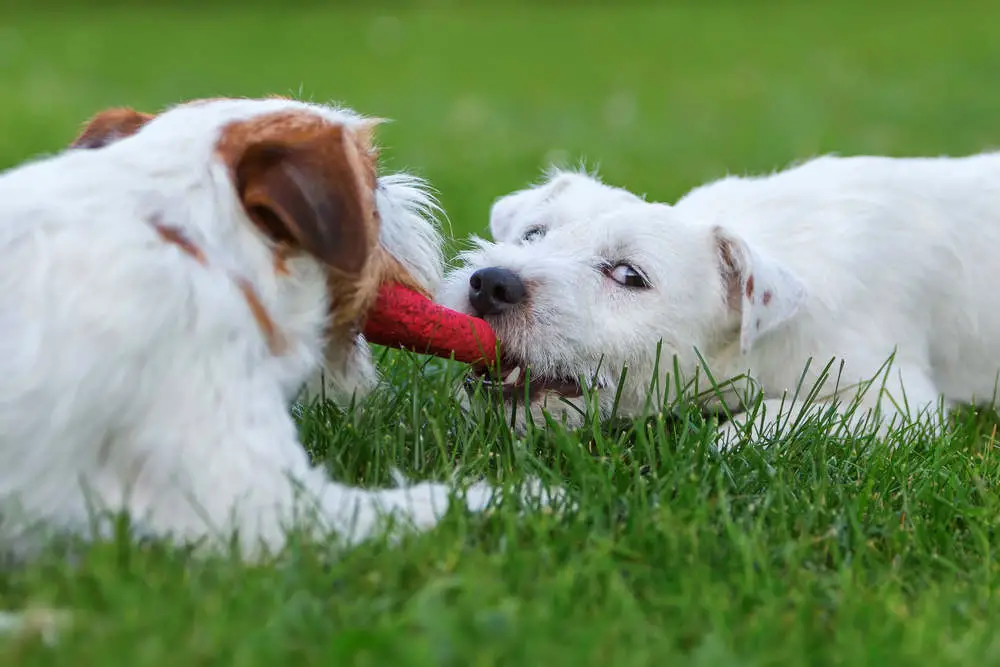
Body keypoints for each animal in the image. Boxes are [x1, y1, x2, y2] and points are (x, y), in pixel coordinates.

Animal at [0, 96, 548, 560]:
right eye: (372, 187)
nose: (406, 191)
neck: (188, 239)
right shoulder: (269, 509)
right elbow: (441, 503)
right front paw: (537, 496)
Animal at [440, 155, 1000, 448]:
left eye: (629, 275)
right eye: (533, 233)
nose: (490, 284)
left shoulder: (898, 402)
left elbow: (788, 411)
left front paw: (728, 442)